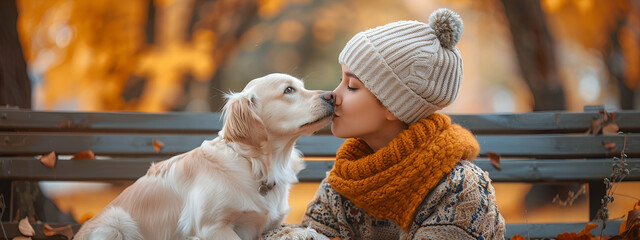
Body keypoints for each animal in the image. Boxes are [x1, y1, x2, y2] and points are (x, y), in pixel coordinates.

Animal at [75, 73, 336, 240]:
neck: (253, 165)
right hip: (116, 222)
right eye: (288, 90)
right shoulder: (211, 226)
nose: (332, 96)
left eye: (301, 86)